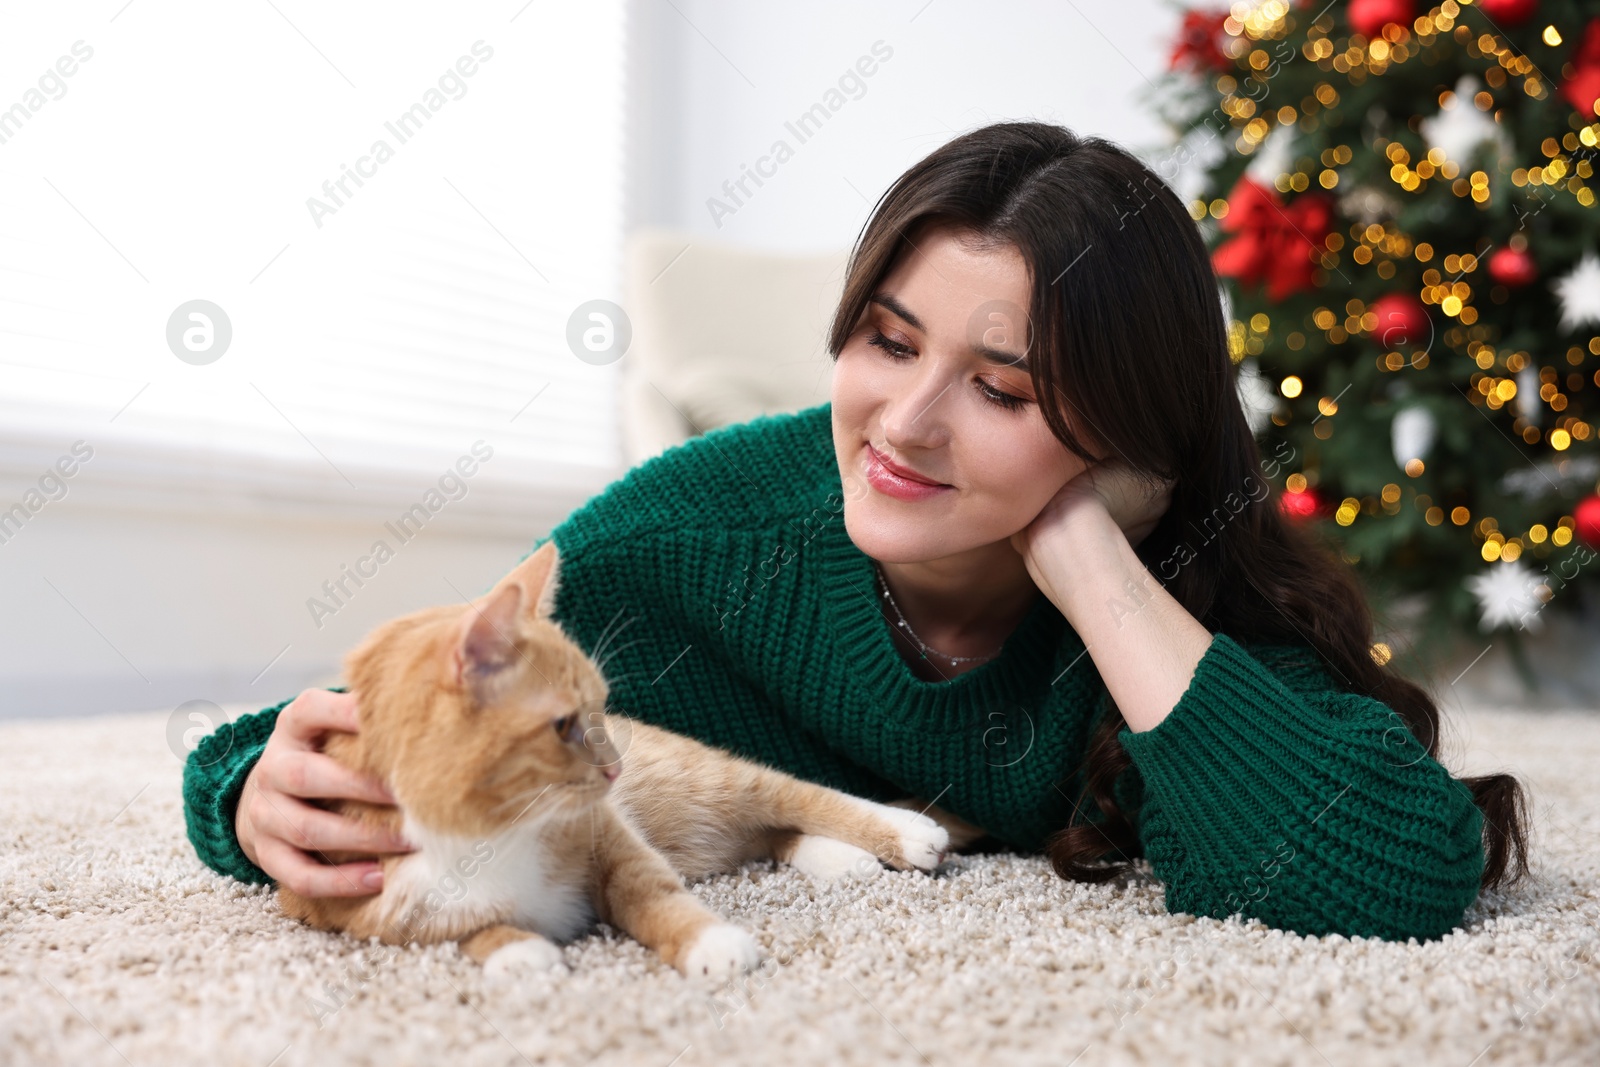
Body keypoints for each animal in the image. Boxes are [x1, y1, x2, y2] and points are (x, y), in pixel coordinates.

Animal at [275, 543, 972, 985]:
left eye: (600, 710)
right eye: (564, 725)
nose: (614, 769)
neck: (492, 832)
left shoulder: (609, 836)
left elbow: (651, 892)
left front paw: (710, 942)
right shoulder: (356, 911)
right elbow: (457, 933)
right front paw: (514, 953)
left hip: (710, 782)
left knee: (798, 796)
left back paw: (904, 834)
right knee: (771, 835)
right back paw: (840, 859)